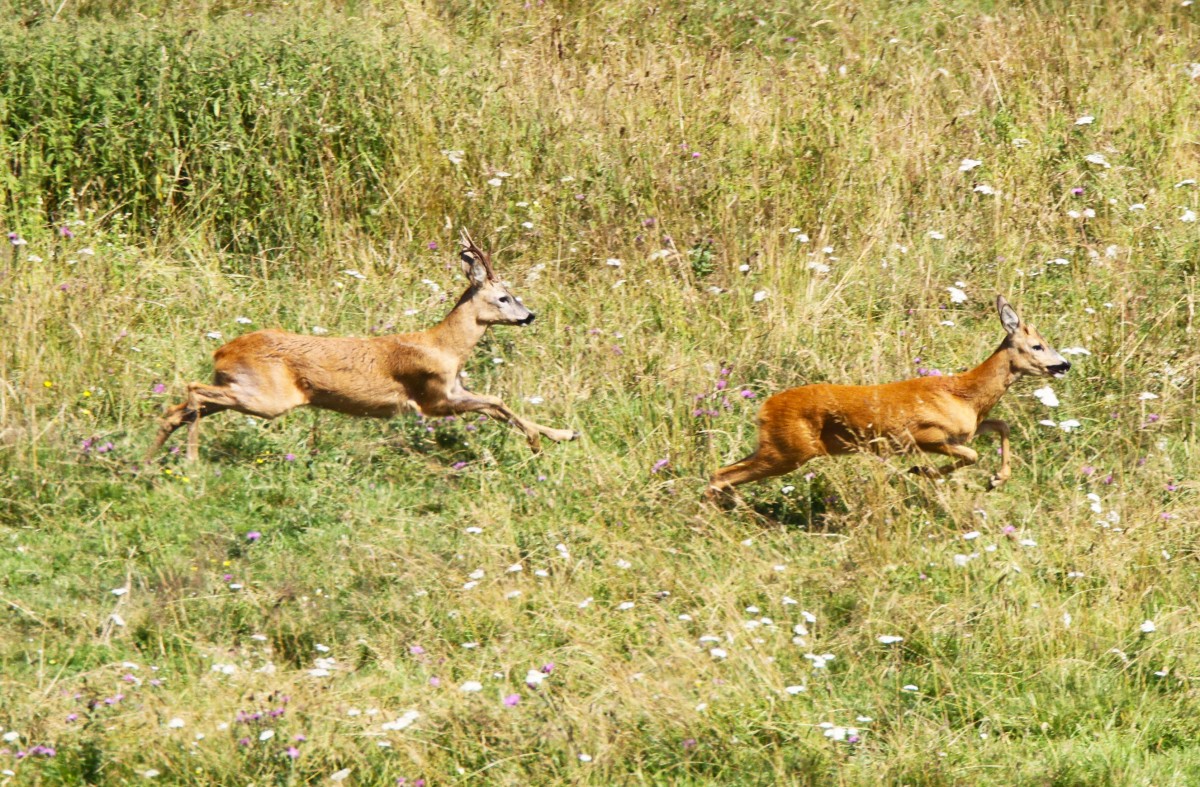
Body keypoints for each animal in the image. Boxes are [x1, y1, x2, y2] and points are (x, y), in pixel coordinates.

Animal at [145, 229, 580, 460]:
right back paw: (191, 458)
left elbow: (498, 406)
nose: (530, 315)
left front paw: (562, 435)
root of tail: (223, 350)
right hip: (267, 397)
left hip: (243, 389)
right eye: (504, 297)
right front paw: (540, 442)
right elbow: (497, 401)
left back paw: (153, 462)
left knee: (178, 407)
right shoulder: (432, 398)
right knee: (193, 391)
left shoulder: (453, 390)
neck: (445, 347)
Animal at [700, 295, 1070, 503]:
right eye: (1037, 346)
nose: (1064, 364)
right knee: (721, 475)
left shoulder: (969, 427)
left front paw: (996, 479)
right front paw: (923, 471)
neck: (965, 394)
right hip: (791, 451)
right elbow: (972, 454)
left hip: (774, 445)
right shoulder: (922, 434)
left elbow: (1001, 426)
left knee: (722, 471)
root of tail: (763, 408)